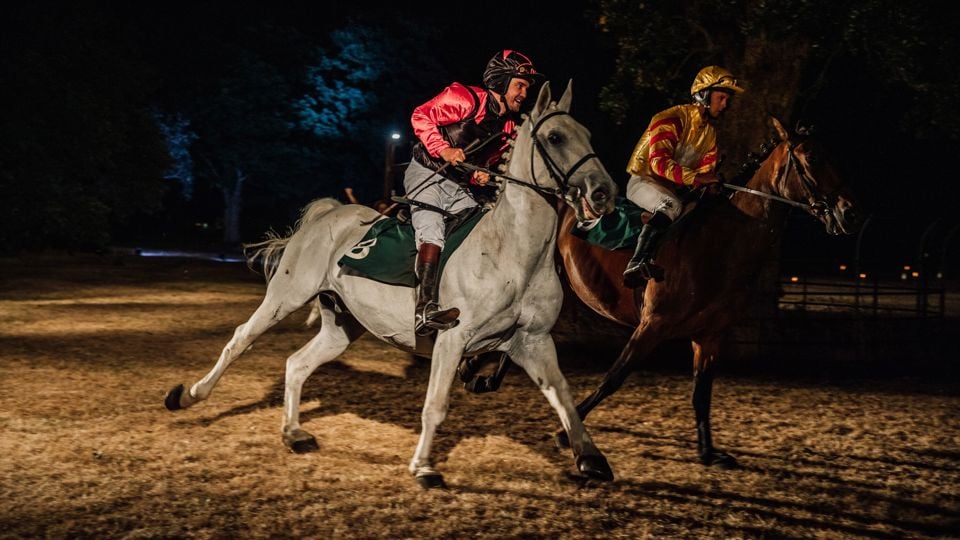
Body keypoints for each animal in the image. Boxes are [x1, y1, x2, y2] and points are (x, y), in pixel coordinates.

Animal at [163, 81, 616, 490]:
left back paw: (294, 432)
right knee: (241, 339)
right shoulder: (454, 340)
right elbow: (436, 405)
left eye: (590, 135)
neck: (514, 251)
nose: (603, 192)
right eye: (556, 137)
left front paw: (591, 459)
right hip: (285, 297)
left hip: (341, 324)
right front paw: (424, 467)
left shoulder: (532, 341)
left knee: (297, 364)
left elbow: (563, 397)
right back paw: (188, 396)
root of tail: (326, 215)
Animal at [556, 118, 864, 468]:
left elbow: (702, 394)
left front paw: (708, 451)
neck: (720, 244)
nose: (852, 213)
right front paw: (567, 434)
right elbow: (614, 377)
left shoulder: (710, 334)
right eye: (811, 158)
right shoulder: (652, 325)